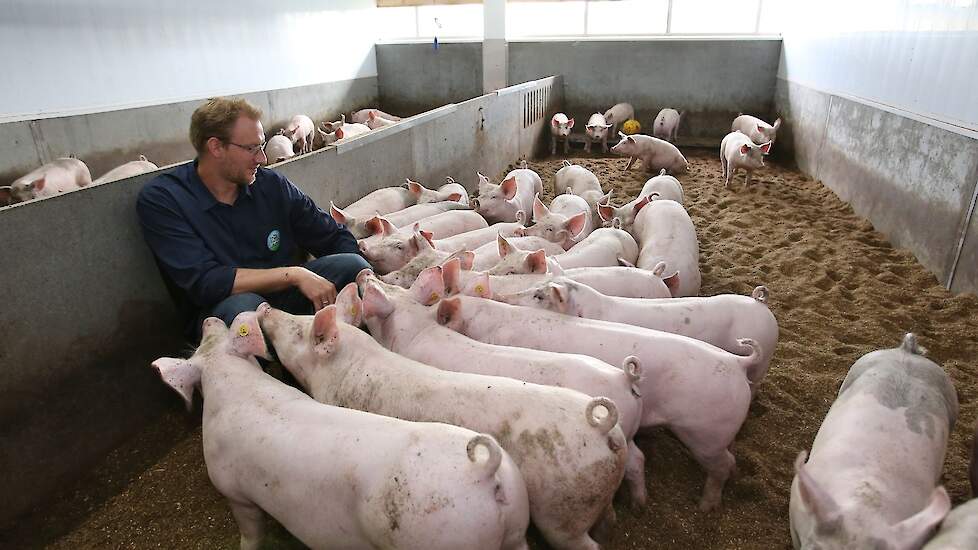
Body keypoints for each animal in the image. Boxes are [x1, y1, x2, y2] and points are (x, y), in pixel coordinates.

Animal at [152, 312, 528, 550]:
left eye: (200, 347)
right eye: (209, 337)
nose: (209, 319)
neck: (235, 386)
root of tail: (482, 470)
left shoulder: (234, 490)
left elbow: (251, 532)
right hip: (516, 531)